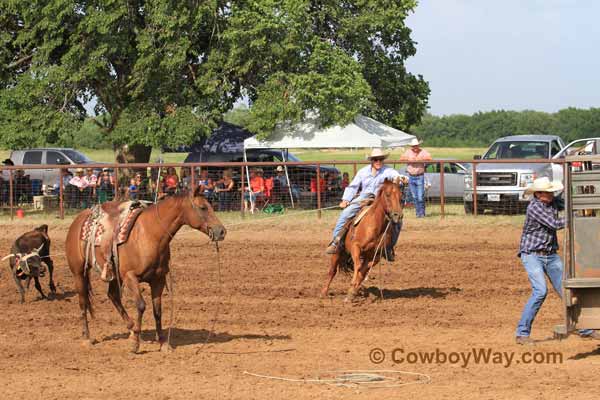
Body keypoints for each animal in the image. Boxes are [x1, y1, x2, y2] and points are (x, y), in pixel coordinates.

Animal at [65, 188, 225, 354]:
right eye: (203, 207)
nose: (221, 231)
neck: (150, 233)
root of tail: (78, 221)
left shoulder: (158, 279)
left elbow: (157, 310)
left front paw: (162, 343)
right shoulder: (130, 277)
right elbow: (141, 305)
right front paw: (135, 343)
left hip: (114, 275)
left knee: (113, 296)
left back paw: (130, 328)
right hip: (78, 273)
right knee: (83, 302)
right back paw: (87, 337)